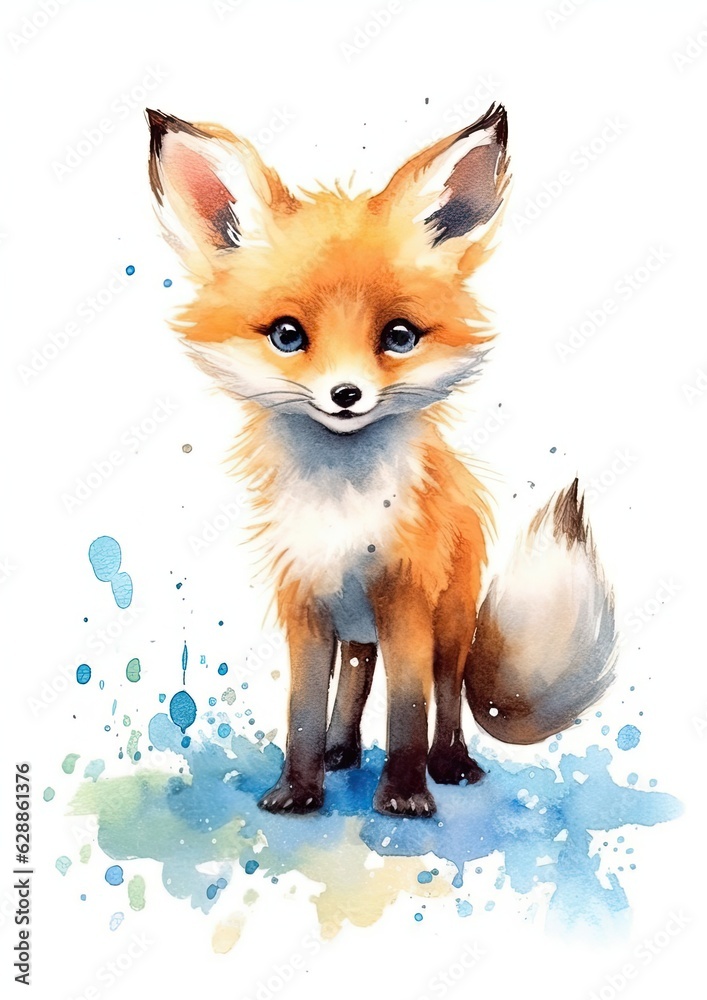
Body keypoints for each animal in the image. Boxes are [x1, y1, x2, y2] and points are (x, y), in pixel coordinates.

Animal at [146, 103, 617, 818]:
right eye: (288, 335)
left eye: (398, 336)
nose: (346, 395)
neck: (344, 510)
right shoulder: (306, 605)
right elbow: (304, 712)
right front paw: (298, 788)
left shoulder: (406, 602)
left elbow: (407, 713)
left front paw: (403, 794)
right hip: (357, 629)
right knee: (357, 680)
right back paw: (341, 752)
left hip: (449, 623)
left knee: (444, 696)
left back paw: (449, 763)